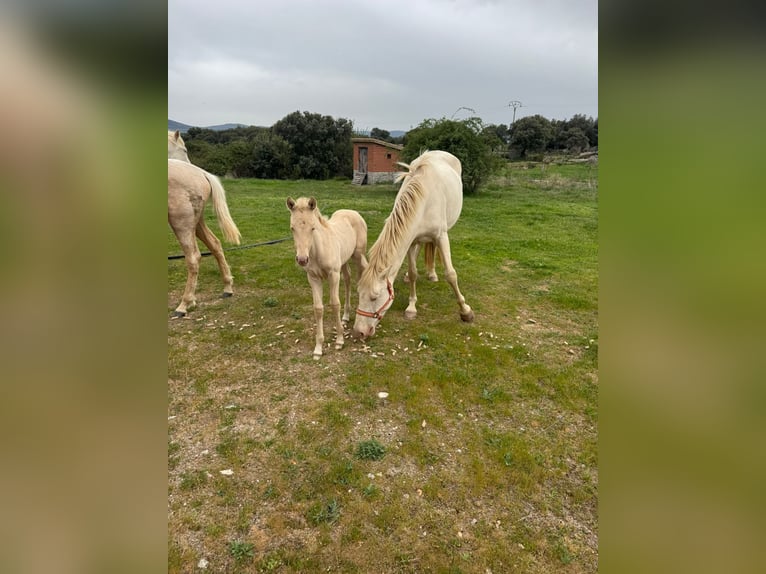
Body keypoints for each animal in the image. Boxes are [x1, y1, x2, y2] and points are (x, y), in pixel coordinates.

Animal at [168, 158, 242, 317]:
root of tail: (202, 173)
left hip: (182, 223)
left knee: (193, 258)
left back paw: (184, 305)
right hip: (196, 223)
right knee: (215, 244)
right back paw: (227, 287)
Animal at [286, 196, 368, 359]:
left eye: (312, 228)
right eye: (292, 228)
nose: (302, 260)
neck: (319, 250)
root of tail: (353, 212)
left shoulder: (333, 275)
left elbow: (335, 304)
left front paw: (340, 341)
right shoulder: (313, 278)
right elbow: (318, 308)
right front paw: (318, 348)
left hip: (358, 256)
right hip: (343, 261)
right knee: (348, 279)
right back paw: (346, 316)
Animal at [353, 150, 474, 339]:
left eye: (375, 297)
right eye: (359, 294)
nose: (359, 332)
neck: (424, 199)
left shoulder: (441, 237)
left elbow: (451, 274)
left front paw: (465, 311)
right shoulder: (410, 240)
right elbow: (413, 272)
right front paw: (411, 307)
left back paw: (433, 274)